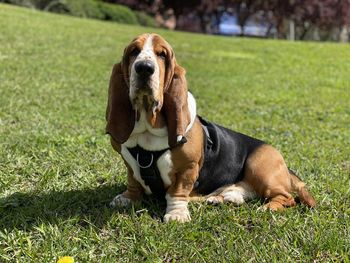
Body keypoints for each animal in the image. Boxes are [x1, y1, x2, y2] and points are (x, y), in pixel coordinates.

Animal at [105, 33, 316, 223]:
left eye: (162, 54)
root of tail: (285, 166)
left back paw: (268, 208)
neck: (148, 129)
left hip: (260, 168)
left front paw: (176, 214)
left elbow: (176, 192)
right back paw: (220, 198)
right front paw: (127, 198)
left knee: (287, 198)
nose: (144, 68)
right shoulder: (129, 163)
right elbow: (133, 181)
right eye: (134, 51)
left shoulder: (188, 168)